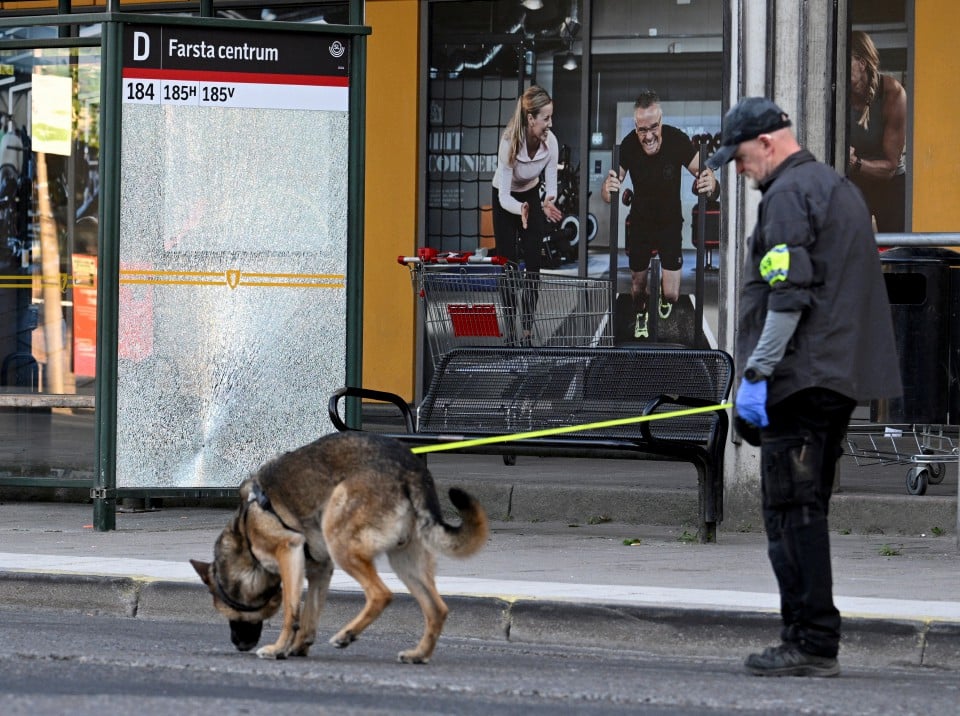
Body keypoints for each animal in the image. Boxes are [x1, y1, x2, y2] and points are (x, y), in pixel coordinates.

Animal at [190, 431, 488, 663]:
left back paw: (348, 634)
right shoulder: (320, 570)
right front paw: (297, 647)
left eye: (227, 613)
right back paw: (419, 654)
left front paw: (278, 649)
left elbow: (291, 611)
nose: (238, 645)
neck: (246, 538)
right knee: (437, 609)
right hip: (404, 562)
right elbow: (309, 614)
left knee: (381, 594)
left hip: (342, 542)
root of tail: (411, 469)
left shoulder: (289, 553)